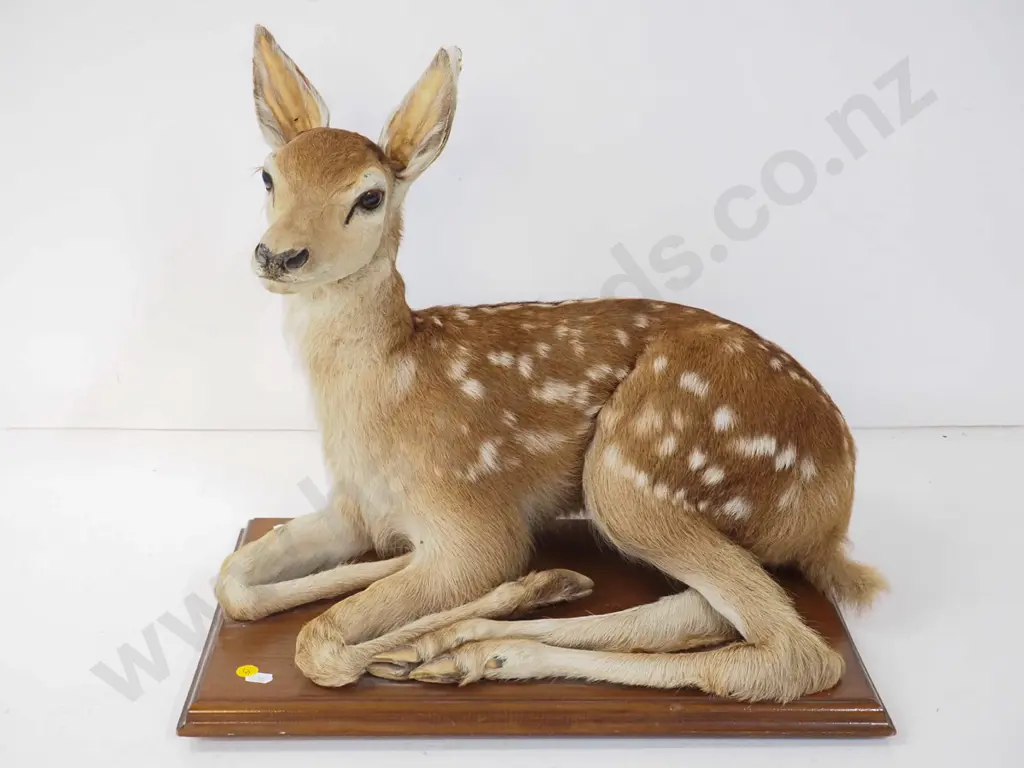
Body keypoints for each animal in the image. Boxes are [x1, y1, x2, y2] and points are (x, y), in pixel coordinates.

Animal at [213, 24, 888, 703]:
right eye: (268, 177)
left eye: (370, 196)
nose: (279, 255)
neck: (390, 388)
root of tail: (836, 506)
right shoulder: (356, 506)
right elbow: (233, 580)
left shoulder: (469, 516)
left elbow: (322, 642)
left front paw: (481, 595)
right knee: (697, 612)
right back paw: (486, 635)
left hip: (634, 472)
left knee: (792, 652)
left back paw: (464, 645)